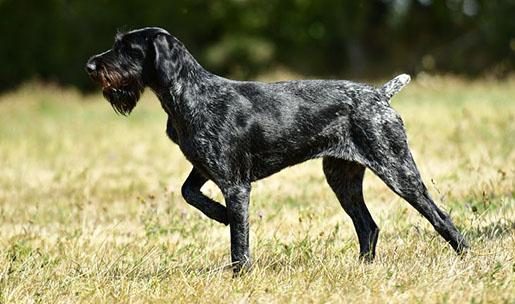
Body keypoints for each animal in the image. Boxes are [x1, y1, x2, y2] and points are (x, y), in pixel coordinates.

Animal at [86, 26, 470, 274]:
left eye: (127, 48)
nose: (91, 66)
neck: (188, 95)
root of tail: (379, 95)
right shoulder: (204, 169)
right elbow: (188, 193)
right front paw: (220, 215)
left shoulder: (235, 184)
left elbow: (238, 239)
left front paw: (240, 273)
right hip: (341, 179)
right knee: (368, 226)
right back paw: (363, 268)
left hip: (397, 169)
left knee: (439, 216)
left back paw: (465, 255)